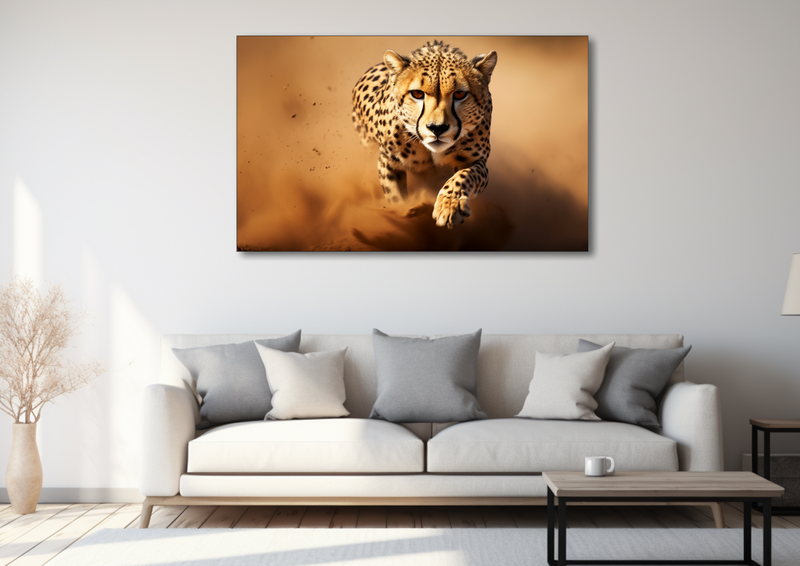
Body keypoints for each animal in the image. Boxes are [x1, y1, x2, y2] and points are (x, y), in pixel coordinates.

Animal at [351, 40, 497, 229]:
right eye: (417, 94)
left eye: (460, 94)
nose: (437, 128)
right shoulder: (388, 162)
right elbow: (395, 196)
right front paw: (406, 213)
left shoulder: (475, 161)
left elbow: (462, 177)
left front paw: (449, 206)